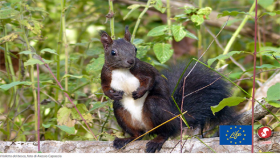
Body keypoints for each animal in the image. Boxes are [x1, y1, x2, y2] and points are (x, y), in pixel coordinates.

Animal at [99, 26, 235, 152]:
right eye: (113, 52)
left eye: (135, 48)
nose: (131, 61)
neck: (121, 70)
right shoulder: (105, 75)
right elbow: (104, 88)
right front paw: (112, 95)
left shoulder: (143, 69)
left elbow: (151, 79)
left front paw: (140, 92)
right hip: (122, 113)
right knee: (137, 134)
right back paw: (128, 139)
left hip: (158, 109)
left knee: (166, 131)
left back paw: (157, 141)